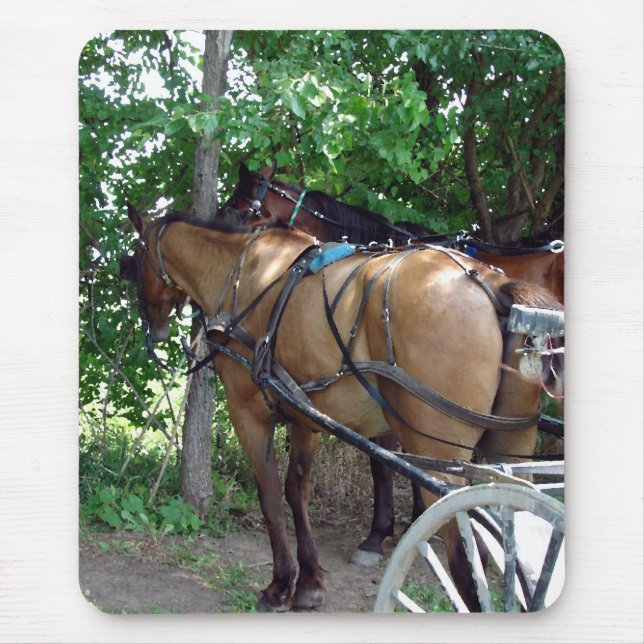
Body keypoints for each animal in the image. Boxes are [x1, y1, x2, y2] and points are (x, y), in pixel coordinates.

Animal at [121, 206, 563, 611]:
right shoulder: (303, 414)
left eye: (136, 258)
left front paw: (280, 586)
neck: (244, 273)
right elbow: (296, 490)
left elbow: (270, 495)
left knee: (465, 558)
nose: (153, 329)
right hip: (511, 449)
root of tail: (493, 282)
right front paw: (309, 582)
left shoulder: (248, 411)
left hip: (441, 455)